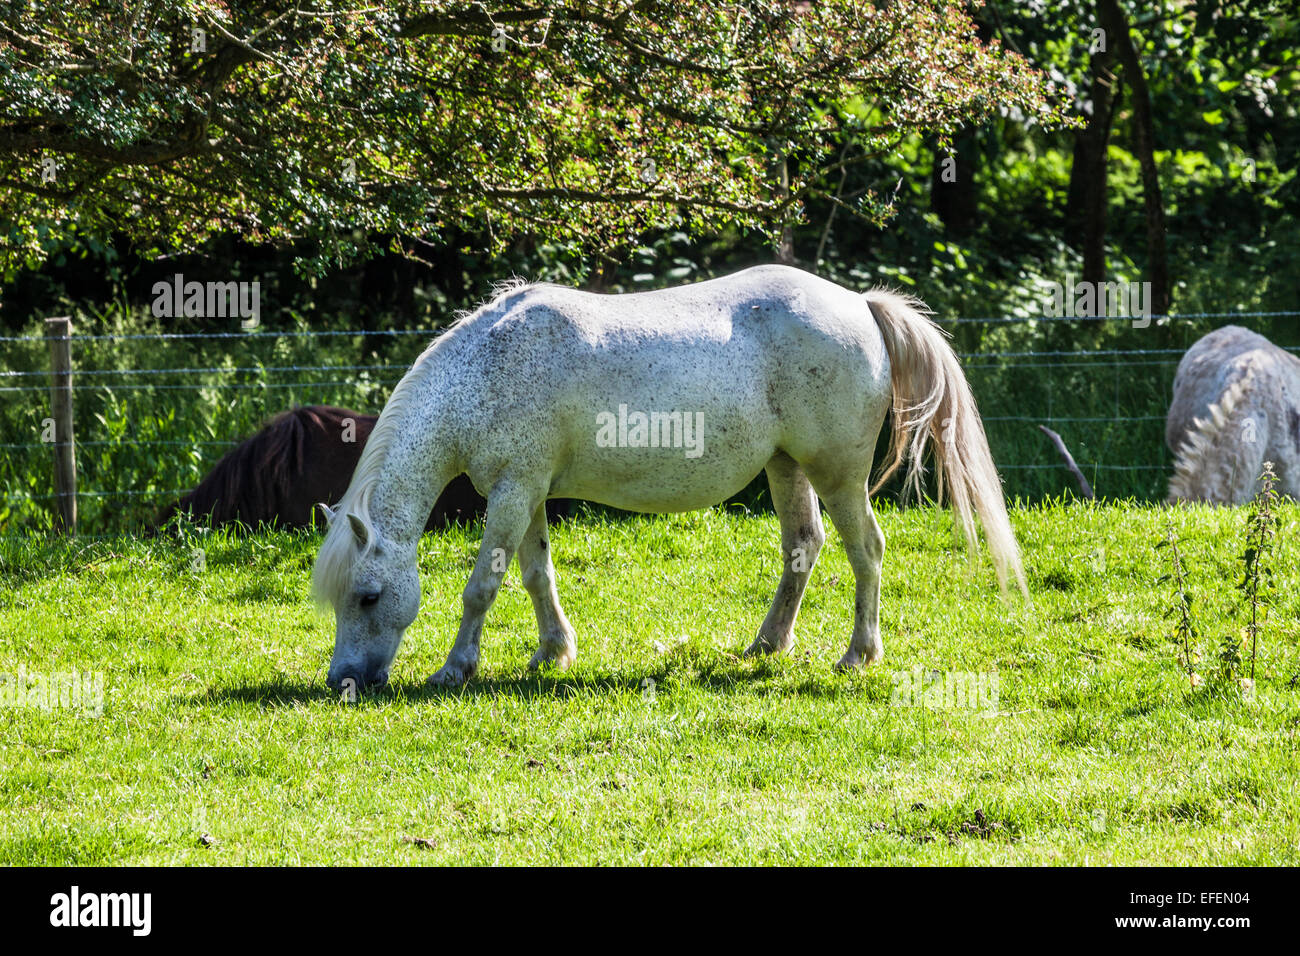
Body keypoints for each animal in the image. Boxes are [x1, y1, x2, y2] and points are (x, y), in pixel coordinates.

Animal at [312, 264, 1026, 691]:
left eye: (368, 597)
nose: (344, 681)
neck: (489, 367)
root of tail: (859, 303)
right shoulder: (530, 493)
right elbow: (536, 575)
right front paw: (553, 653)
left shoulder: (513, 494)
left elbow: (482, 586)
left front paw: (455, 669)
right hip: (786, 465)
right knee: (804, 546)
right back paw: (766, 646)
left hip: (838, 474)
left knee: (866, 550)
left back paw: (858, 654)